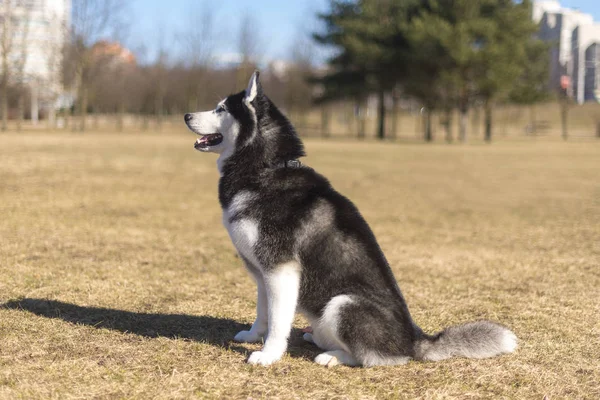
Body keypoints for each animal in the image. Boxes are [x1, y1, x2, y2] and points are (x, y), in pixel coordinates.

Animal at [183, 71, 516, 366]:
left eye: (221, 108)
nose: (186, 115)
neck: (265, 169)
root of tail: (414, 339)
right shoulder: (262, 271)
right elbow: (264, 312)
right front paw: (254, 336)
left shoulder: (281, 270)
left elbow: (278, 321)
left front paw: (268, 355)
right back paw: (316, 338)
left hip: (343, 304)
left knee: (380, 358)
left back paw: (333, 356)